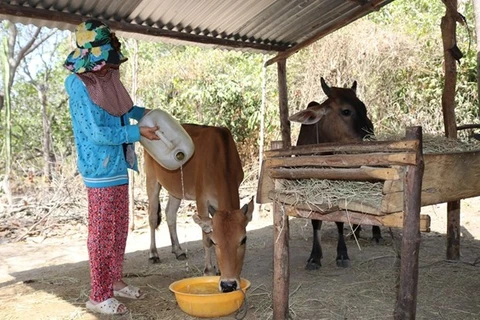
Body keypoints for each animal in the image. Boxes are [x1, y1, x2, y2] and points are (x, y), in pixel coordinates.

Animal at [143, 123, 253, 292]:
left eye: (243, 240)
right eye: (215, 241)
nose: (229, 284)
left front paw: (219, 270)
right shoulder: (201, 199)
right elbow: (205, 237)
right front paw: (209, 270)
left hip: (176, 189)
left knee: (170, 213)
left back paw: (178, 250)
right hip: (152, 179)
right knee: (153, 217)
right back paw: (153, 254)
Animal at [288, 77, 382, 270]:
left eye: (364, 108)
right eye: (346, 111)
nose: (370, 140)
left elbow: (339, 219)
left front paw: (342, 254)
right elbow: (316, 220)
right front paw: (314, 256)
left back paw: (376, 233)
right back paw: (356, 230)